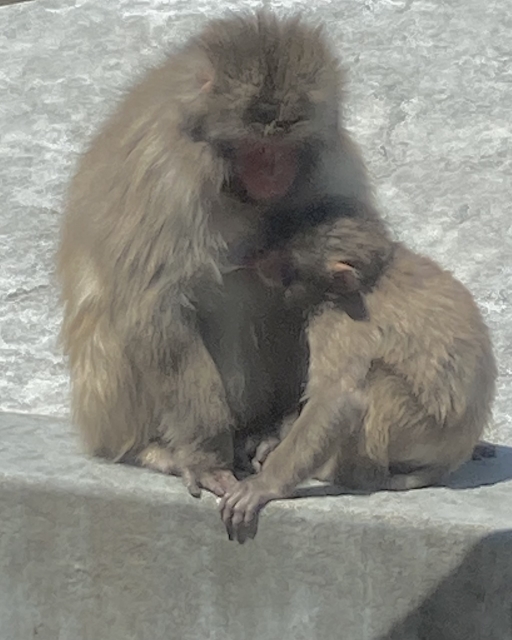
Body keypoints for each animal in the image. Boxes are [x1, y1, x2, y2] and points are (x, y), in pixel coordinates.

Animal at [56, 10, 376, 498]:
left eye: (286, 142)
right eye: (258, 143)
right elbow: (158, 310)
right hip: (105, 411)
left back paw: (265, 429)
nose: (273, 170)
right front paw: (206, 455)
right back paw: (152, 448)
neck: (232, 183)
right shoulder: (169, 177)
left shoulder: (331, 164)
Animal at [219, 197, 497, 540]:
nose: (259, 264)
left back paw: (352, 474)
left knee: (374, 382)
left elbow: (338, 397)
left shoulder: (339, 319)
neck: (373, 272)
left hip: (421, 433)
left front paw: (264, 485)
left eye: (282, 266)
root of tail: (453, 457)